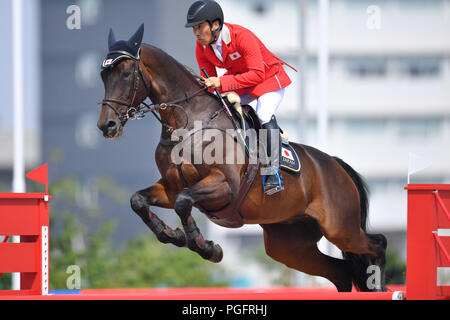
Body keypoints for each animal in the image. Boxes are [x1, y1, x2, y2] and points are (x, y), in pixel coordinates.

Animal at [97, 23, 386, 292]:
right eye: (103, 76)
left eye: (126, 74)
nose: (106, 126)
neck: (188, 123)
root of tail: (335, 164)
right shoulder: (170, 186)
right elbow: (139, 201)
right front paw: (174, 236)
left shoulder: (224, 186)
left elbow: (183, 202)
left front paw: (207, 247)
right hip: (290, 244)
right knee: (341, 271)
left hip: (340, 228)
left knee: (377, 244)